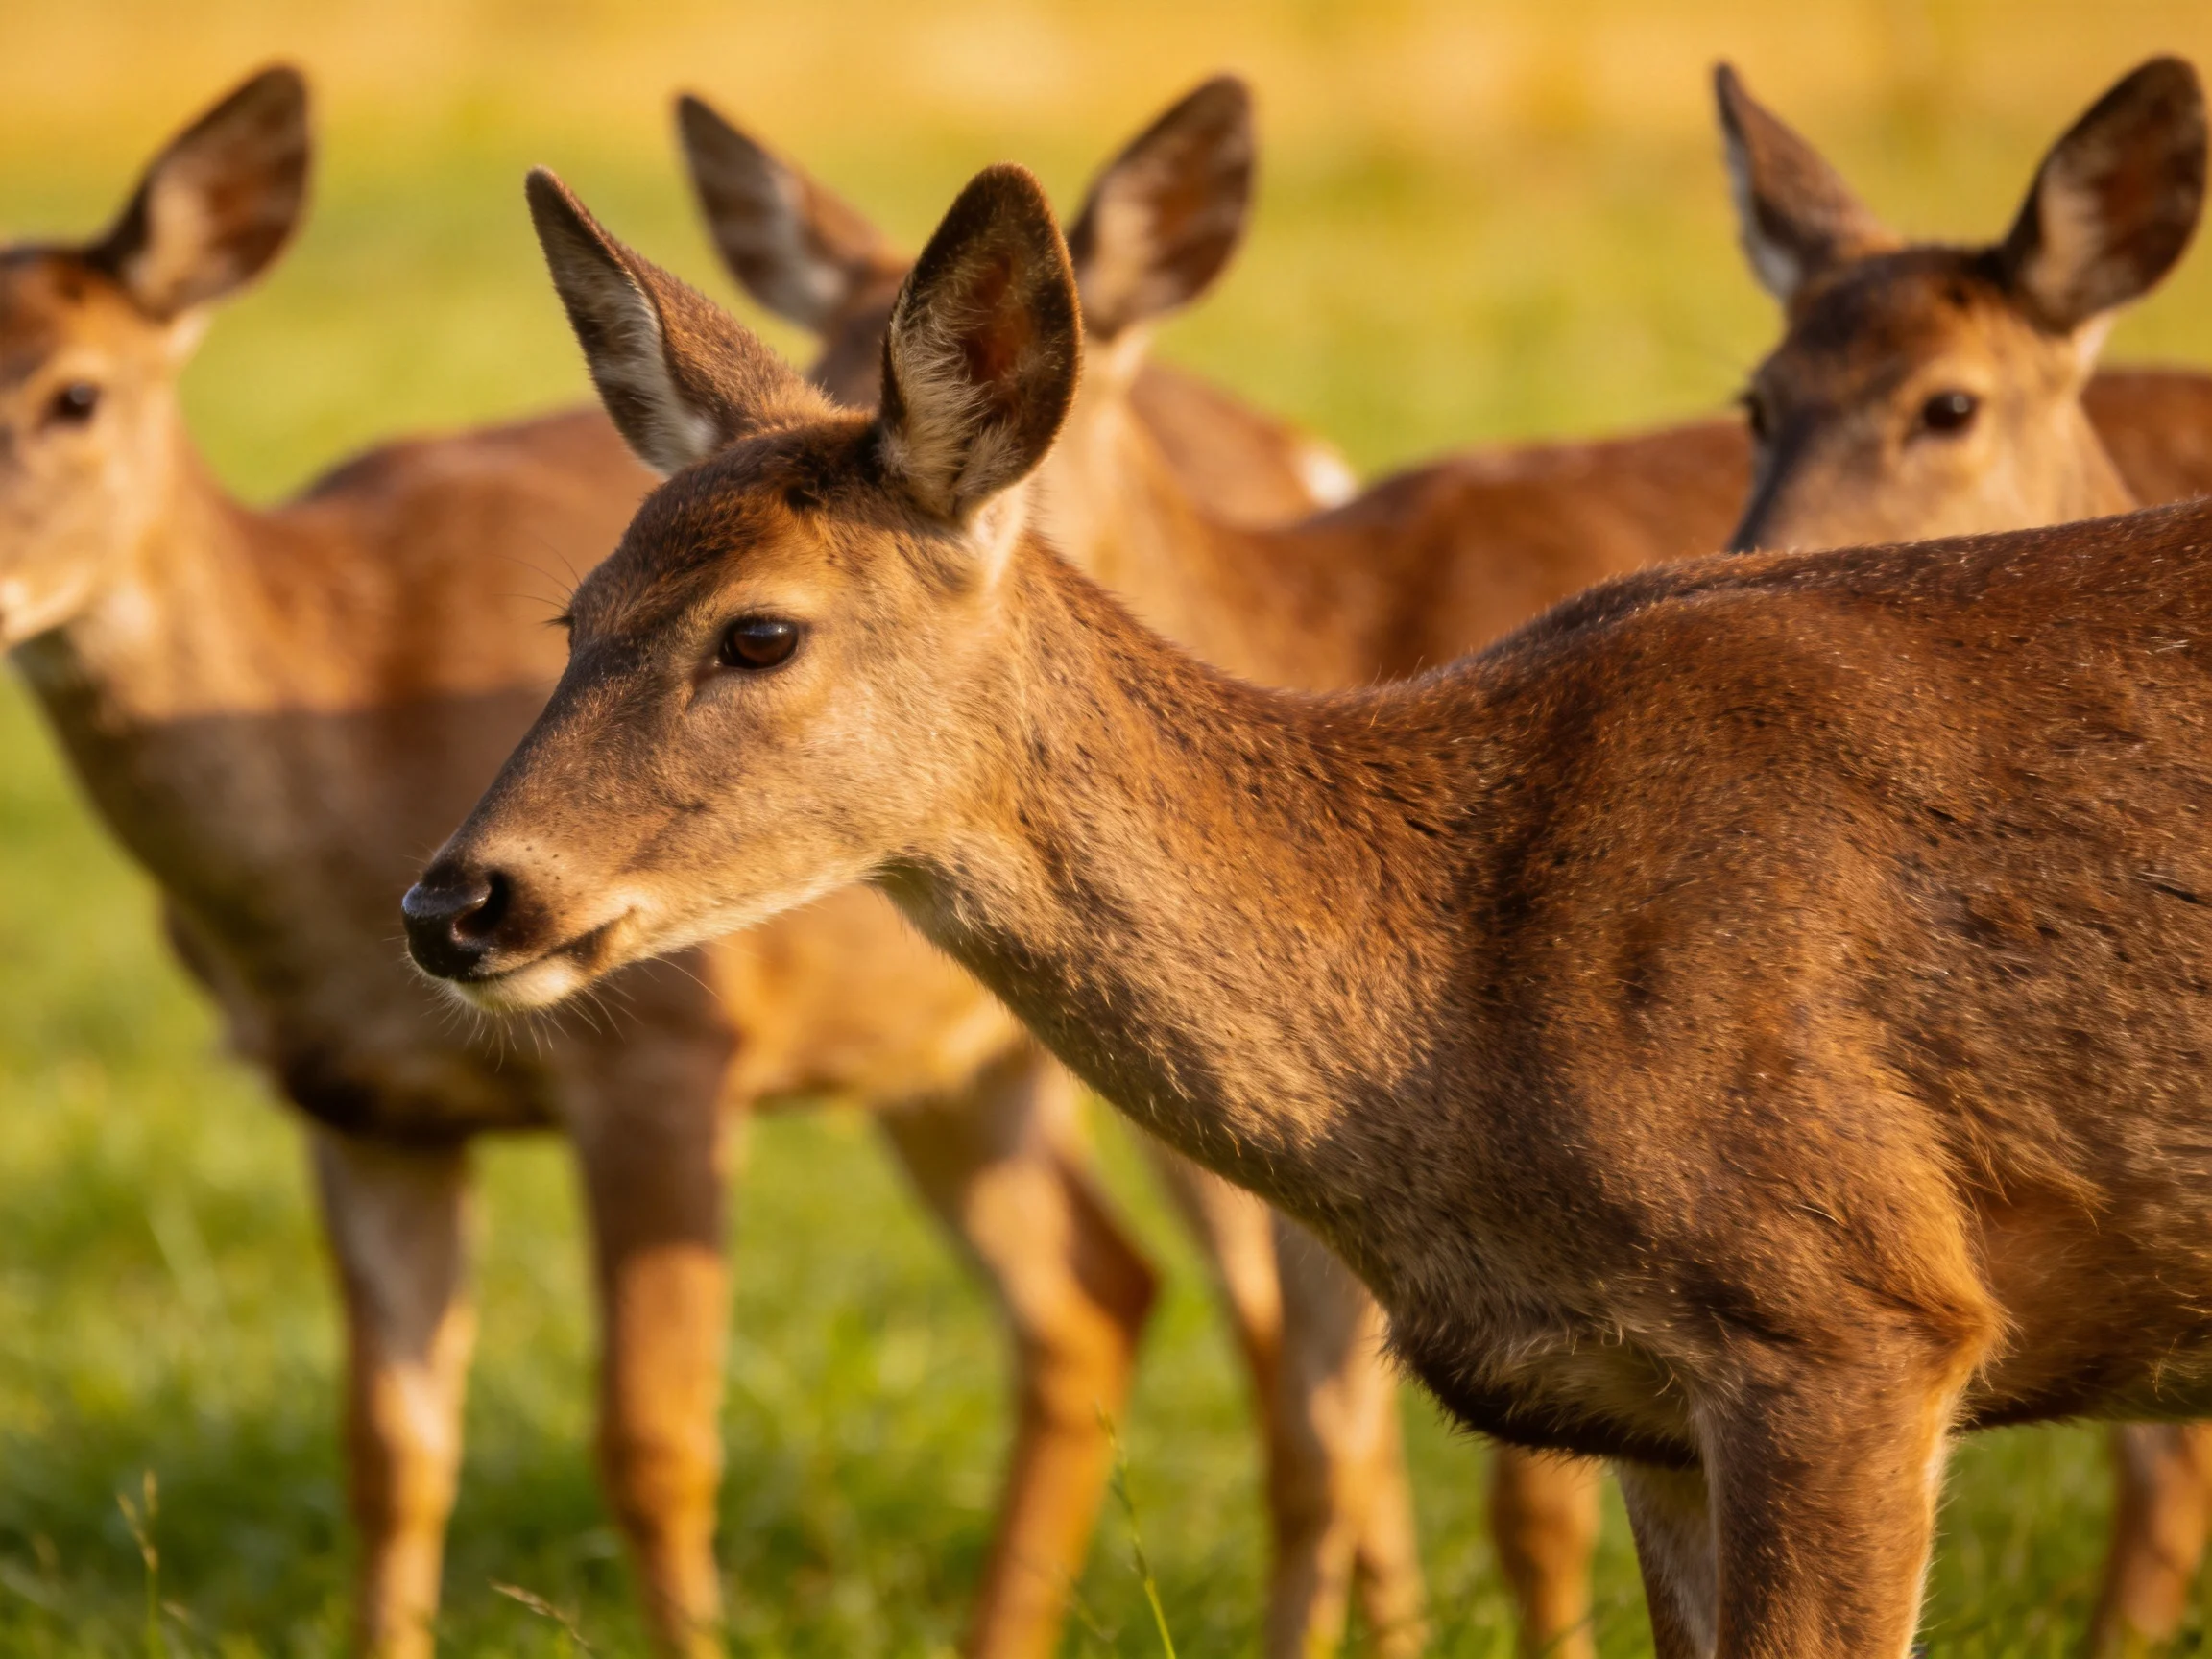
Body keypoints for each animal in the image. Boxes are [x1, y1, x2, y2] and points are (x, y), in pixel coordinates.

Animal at [0, 67, 1404, 1659]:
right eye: (567, 617)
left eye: (76, 394)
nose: (447, 906)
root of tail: (1300, 453)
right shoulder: (352, 1106)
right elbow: (392, 1453)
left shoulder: (668, 1046)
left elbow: (653, 1443)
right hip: (959, 1056)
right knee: (1102, 1297)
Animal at [412, 153, 2212, 1659]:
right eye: (573, 612)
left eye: (760, 631)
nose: (457, 898)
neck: (1466, 982)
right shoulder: (1643, 1405)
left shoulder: (1851, 1313)